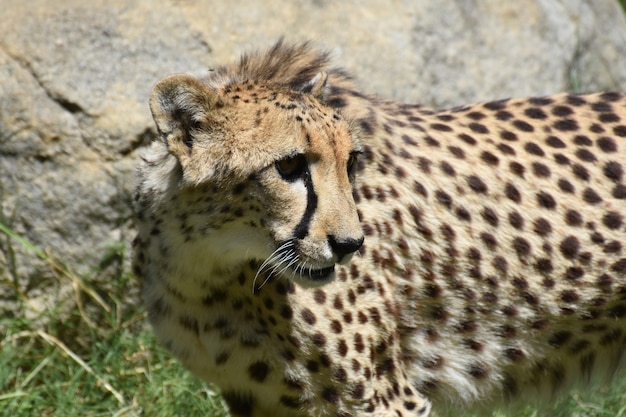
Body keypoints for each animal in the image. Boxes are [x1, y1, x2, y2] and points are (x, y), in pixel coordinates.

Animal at [134, 39, 624, 416]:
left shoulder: (382, 398)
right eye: (289, 166)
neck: (208, 266)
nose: (350, 244)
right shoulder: (259, 398)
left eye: (351, 161)